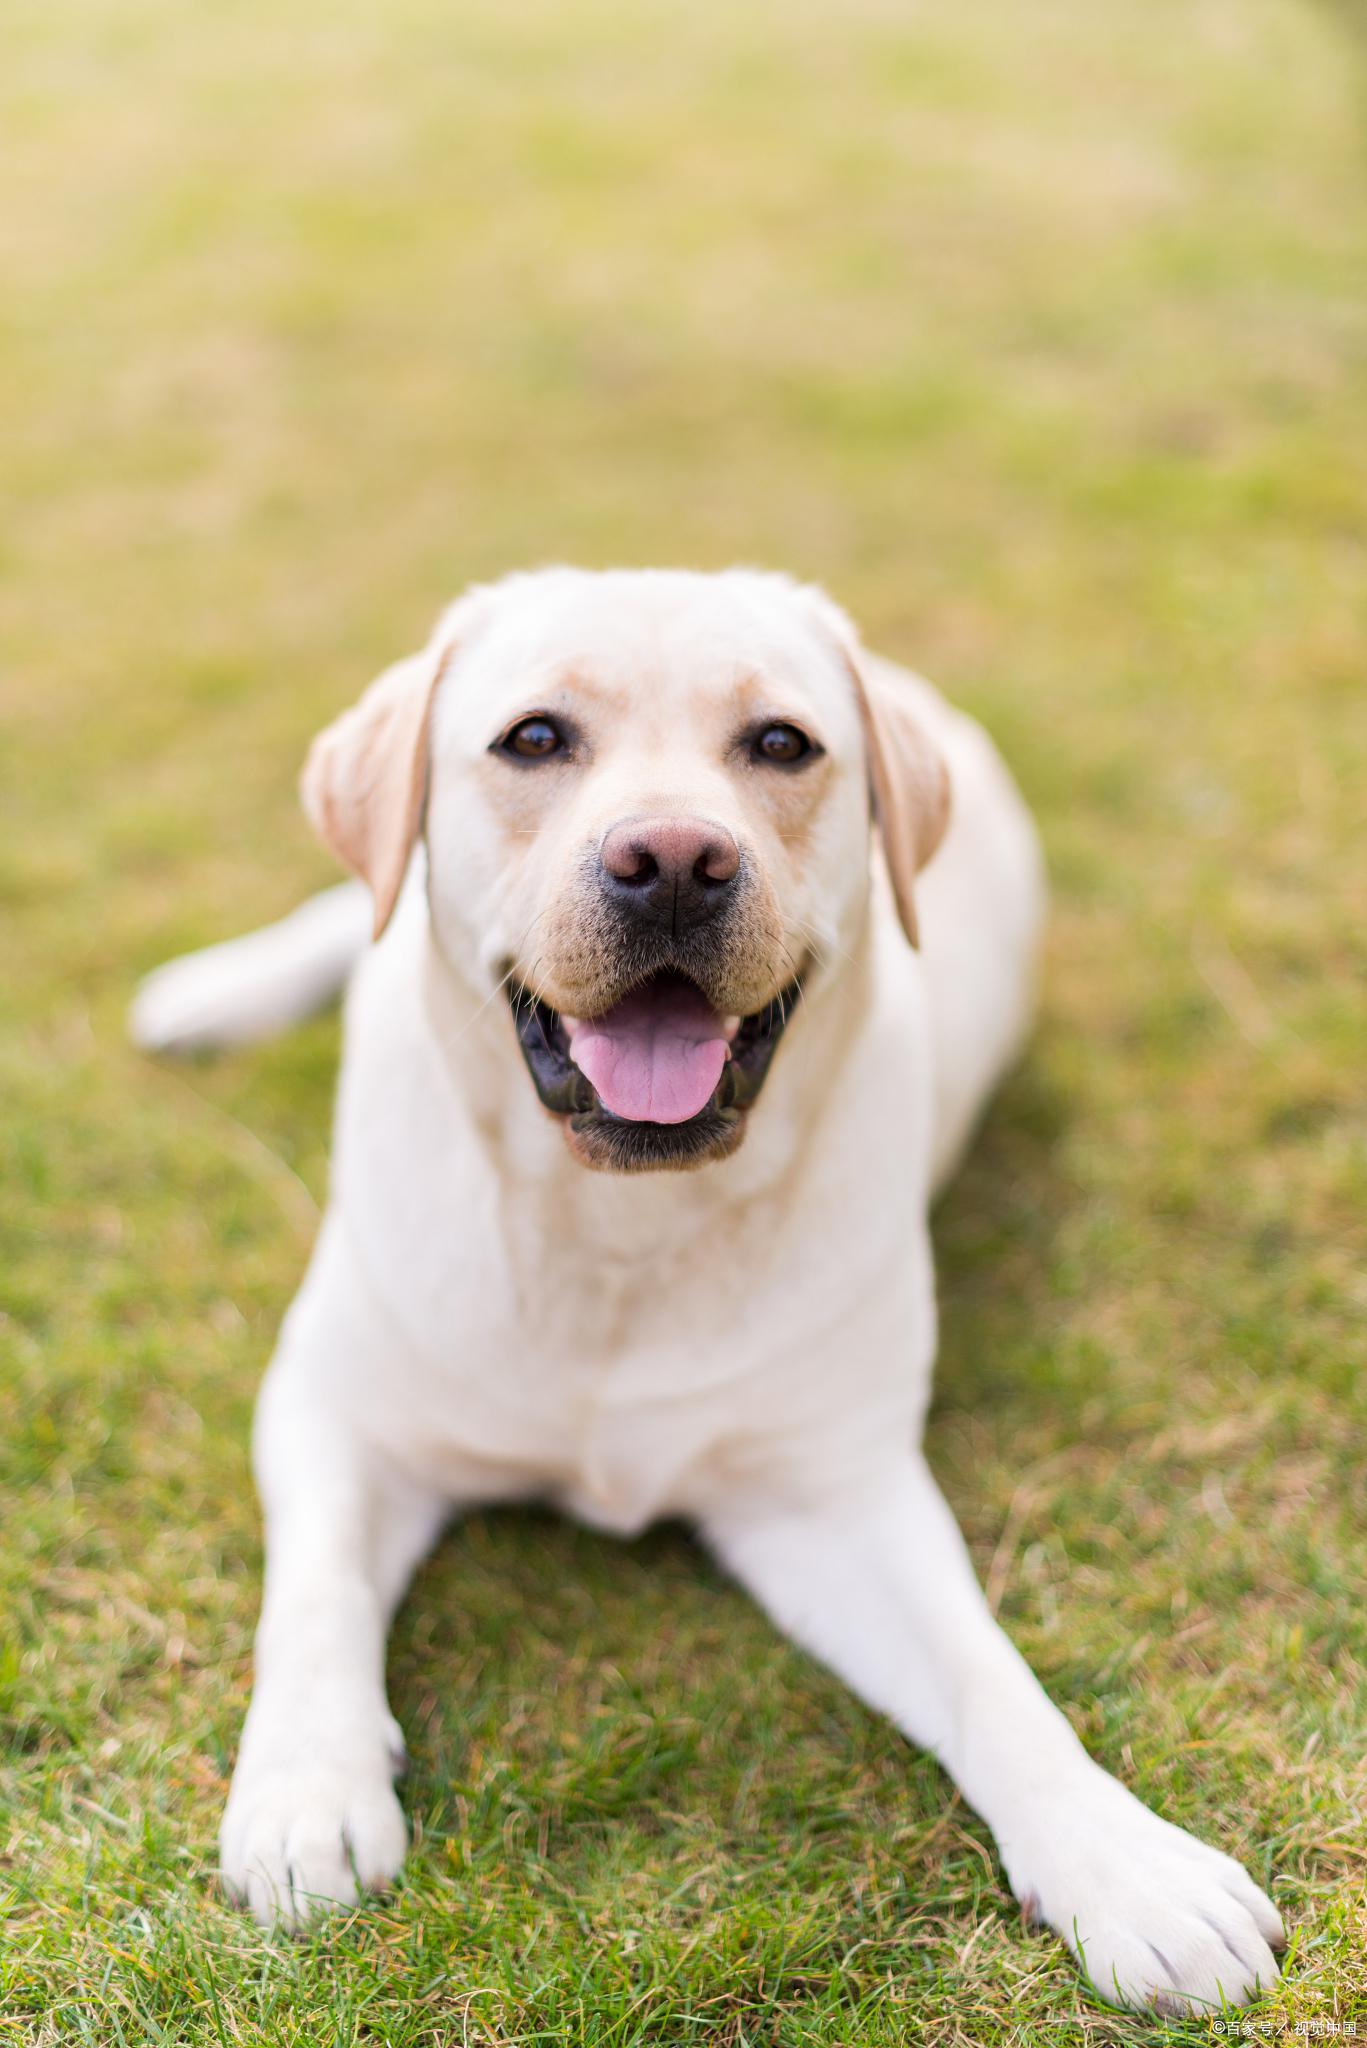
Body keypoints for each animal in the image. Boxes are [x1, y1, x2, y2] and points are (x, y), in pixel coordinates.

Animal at [133, 565, 1287, 2015]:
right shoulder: (335, 1410)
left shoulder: (829, 1494)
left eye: (780, 744)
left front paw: (1121, 1861)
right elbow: (314, 1595)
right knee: (355, 910)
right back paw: (211, 990)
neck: (619, 1226)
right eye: (533, 738)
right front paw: (306, 1791)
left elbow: (988, 1672)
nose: (673, 861)